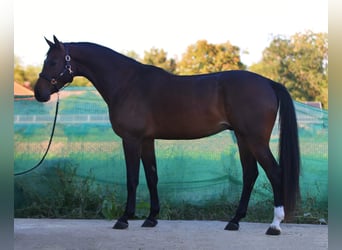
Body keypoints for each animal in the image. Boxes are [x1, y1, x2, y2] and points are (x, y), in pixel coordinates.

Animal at [33, 36, 298, 235]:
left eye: (54, 61)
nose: (39, 93)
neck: (127, 83)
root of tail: (268, 83)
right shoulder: (147, 140)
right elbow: (152, 176)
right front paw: (151, 218)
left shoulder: (131, 140)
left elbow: (132, 179)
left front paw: (124, 218)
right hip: (243, 139)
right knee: (250, 174)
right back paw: (234, 221)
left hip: (255, 140)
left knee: (274, 173)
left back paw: (274, 225)